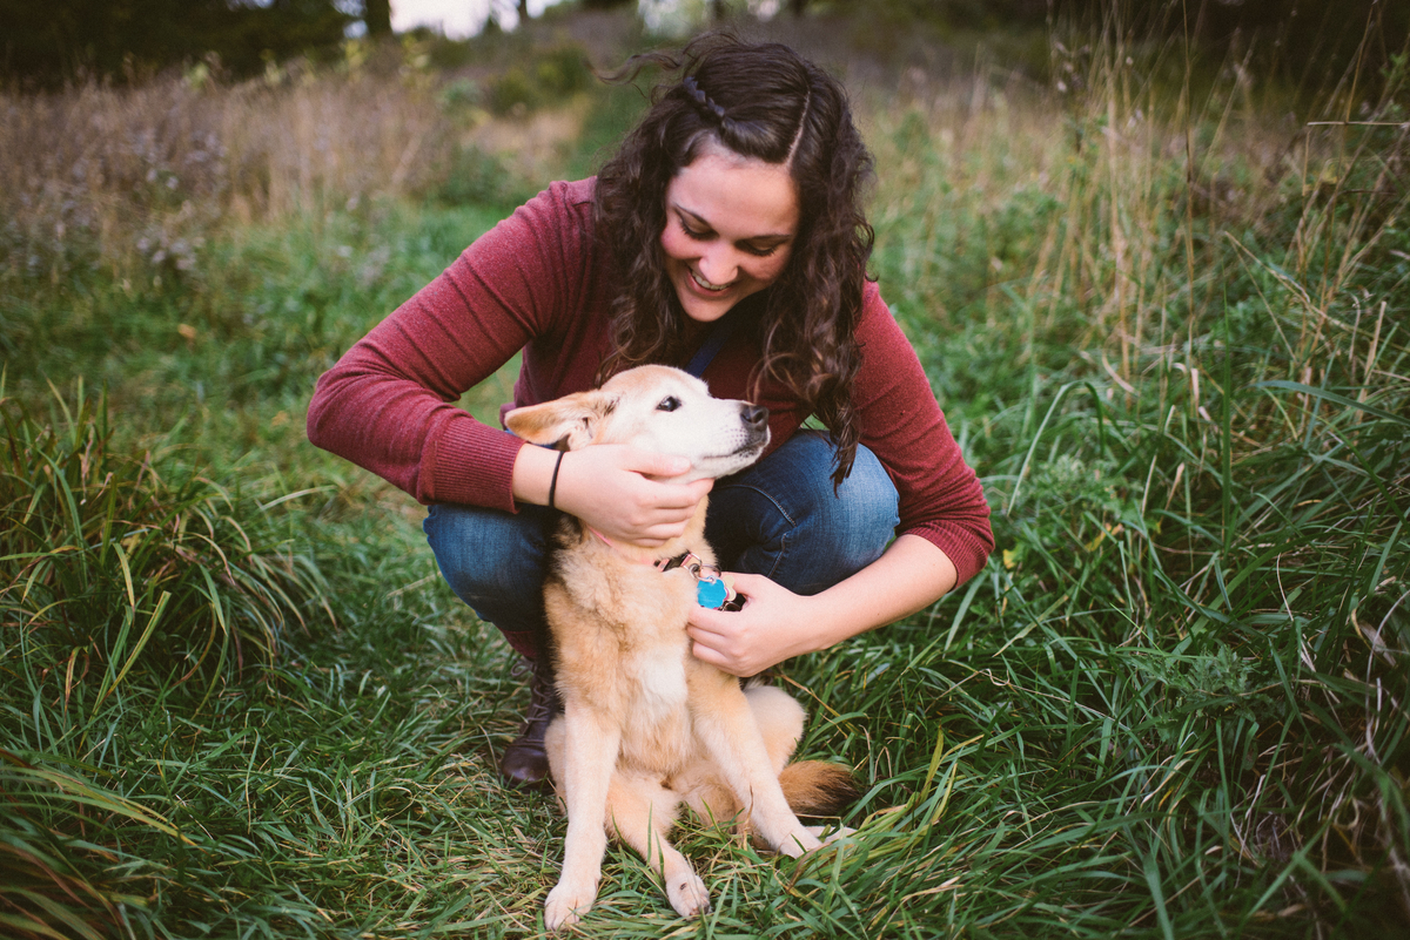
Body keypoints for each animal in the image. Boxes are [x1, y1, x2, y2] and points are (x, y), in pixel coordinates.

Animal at [508, 361, 858, 925]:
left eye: (711, 393)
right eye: (669, 404)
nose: (757, 413)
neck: (652, 567)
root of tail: (682, 787)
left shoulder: (721, 700)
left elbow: (771, 801)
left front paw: (803, 847)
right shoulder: (590, 719)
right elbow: (582, 832)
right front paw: (573, 888)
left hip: (775, 711)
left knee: (750, 811)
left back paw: (816, 840)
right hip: (578, 757)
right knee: (656, 843)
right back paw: (686, 885)